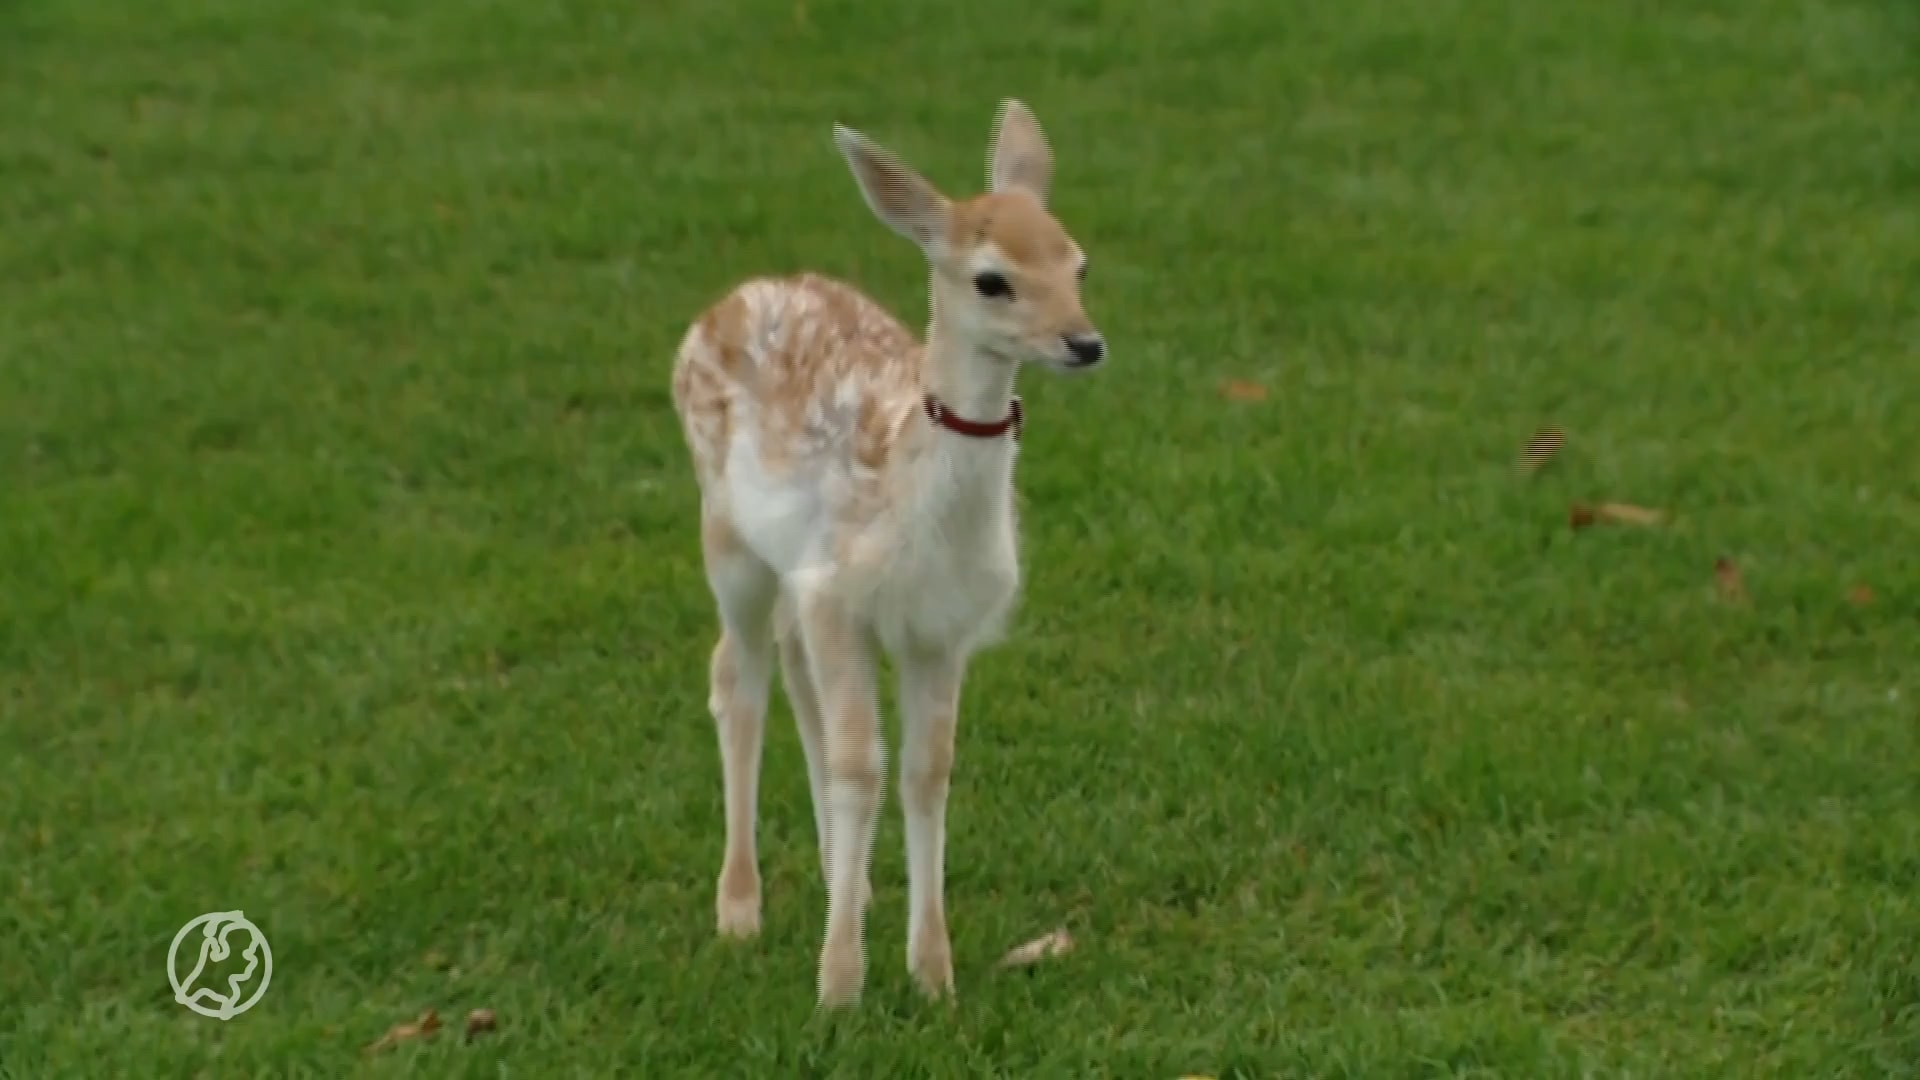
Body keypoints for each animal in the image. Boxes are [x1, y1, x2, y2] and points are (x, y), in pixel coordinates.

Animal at [668, 96, 1105, 1006]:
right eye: (992, 279)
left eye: (1077, 264)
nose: (1085, 343)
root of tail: (730, 299)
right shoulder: (842, 596)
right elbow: (861, 765)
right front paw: (839, 986)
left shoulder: (936, 628)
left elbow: (924, 769)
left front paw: (932, 973)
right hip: (727, 536)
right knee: (737, 678)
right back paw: (740, 909)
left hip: (796, 578)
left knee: (793, 677)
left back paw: (848, 877)